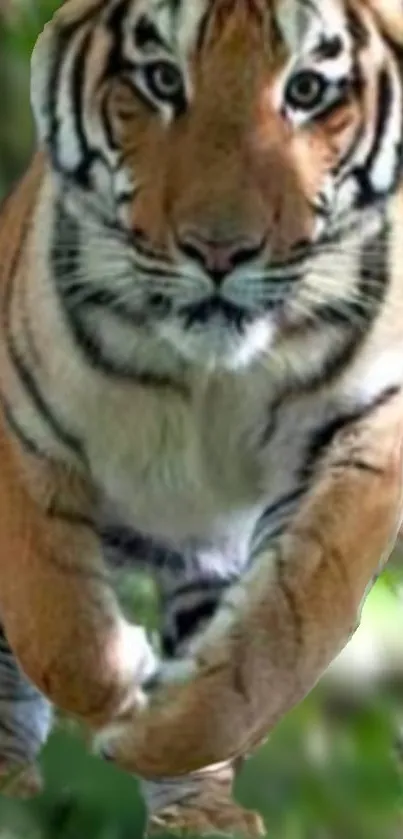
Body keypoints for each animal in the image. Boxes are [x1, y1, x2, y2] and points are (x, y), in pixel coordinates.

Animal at [1, 0, 403, 836]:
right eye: (161, 80)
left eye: (307, 90)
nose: (219, 251)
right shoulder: (23, 429)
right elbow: (51, 618)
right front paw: (118, 675)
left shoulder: (361, 434)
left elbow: (280, 635)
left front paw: (159, 731)